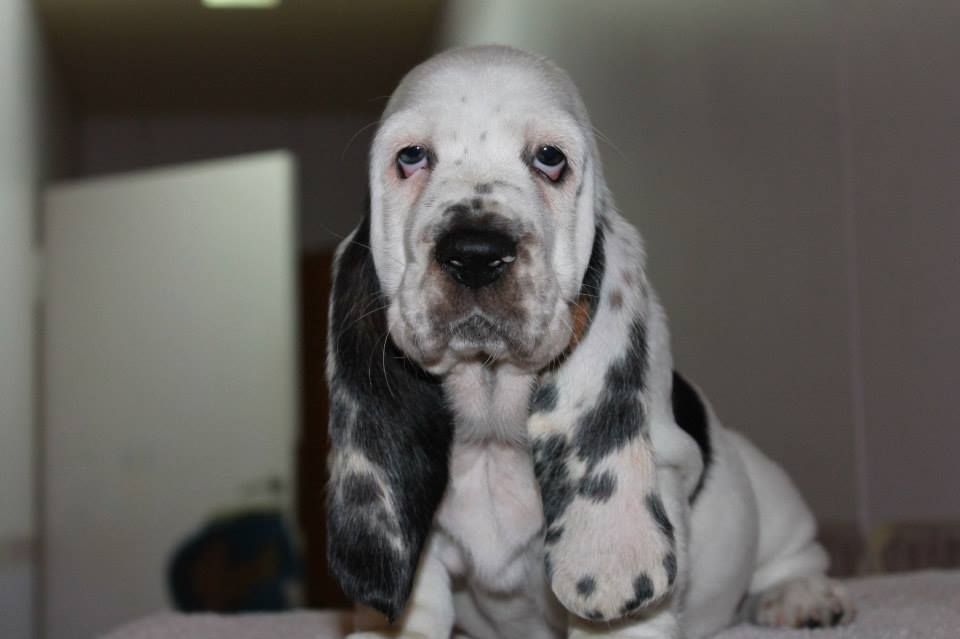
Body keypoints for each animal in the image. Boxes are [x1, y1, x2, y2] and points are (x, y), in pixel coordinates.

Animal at [324, 46, 856, 639]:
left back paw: (802, 596)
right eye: (412, 157)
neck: (491, 429)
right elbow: (418, 605)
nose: (475, 253)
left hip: (773, 496)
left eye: (550, 158)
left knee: (796, 555)